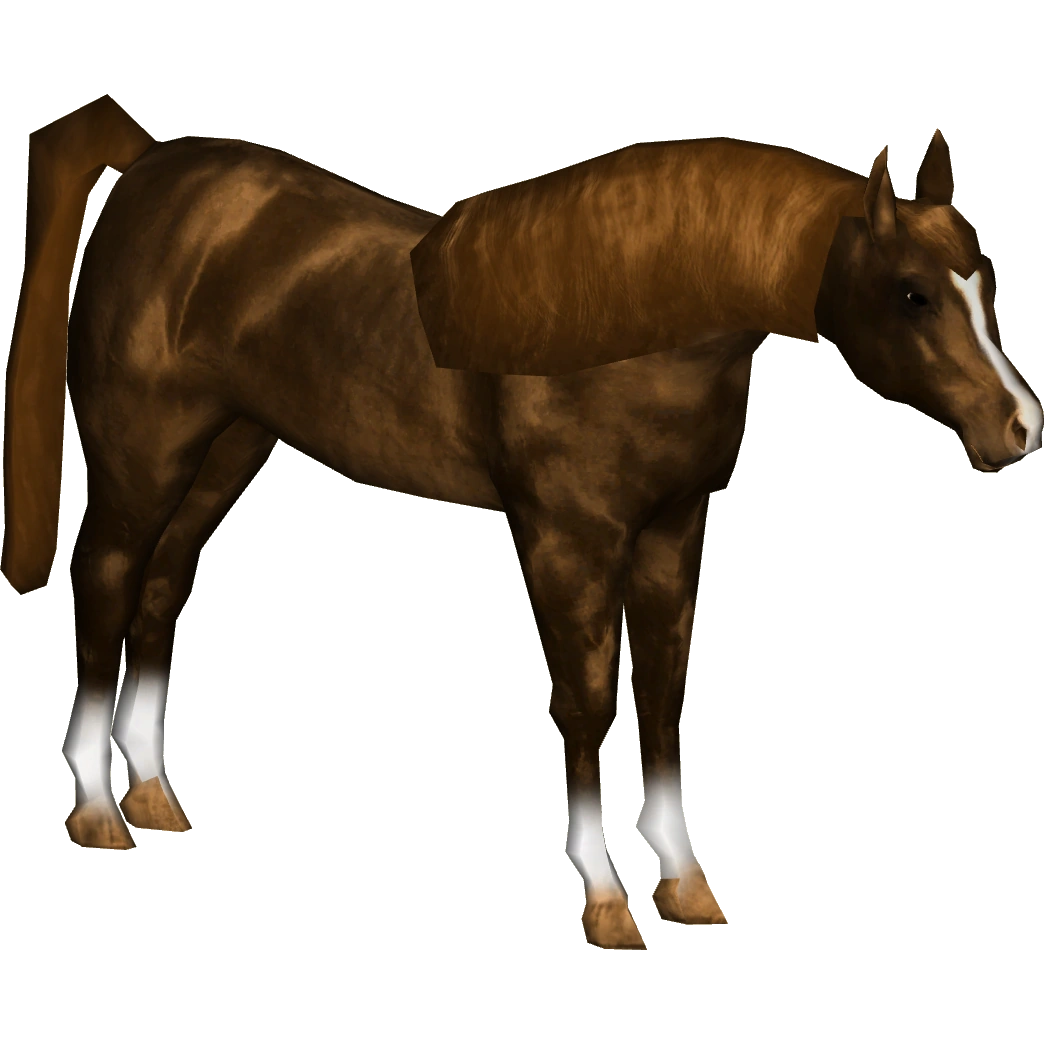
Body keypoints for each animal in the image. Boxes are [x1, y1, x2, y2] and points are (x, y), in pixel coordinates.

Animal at [2, 96, 1039, 951]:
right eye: (913, 293)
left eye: (984, 277)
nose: (1020, 427)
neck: (629, 321)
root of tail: (151, 167)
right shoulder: (565, 541)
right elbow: (586, 702)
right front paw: (607, 902)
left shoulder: (672, 534)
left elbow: (663, 699)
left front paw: (687, 888)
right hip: (144, 458)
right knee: (106, 581)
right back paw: (96, 815)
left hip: (226, 453)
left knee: (162, 587)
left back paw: (152, 797)